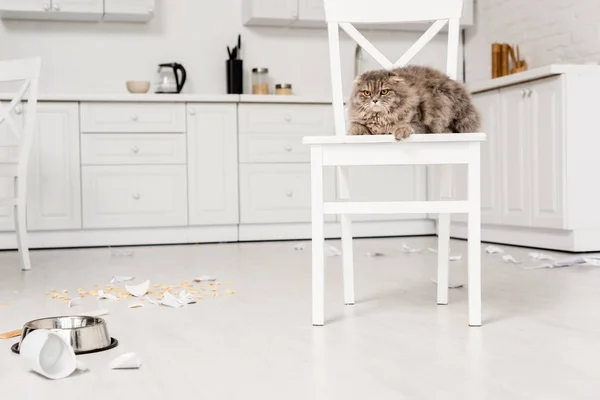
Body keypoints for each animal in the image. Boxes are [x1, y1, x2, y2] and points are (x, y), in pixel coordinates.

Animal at [346, 65, 478, 141]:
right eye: (367, 93)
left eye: (384, 91)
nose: (374, 100)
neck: (380, 119)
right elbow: (357, 126)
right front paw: (355, 132)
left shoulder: (419, 123)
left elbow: (404, 125)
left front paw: (401, 131)